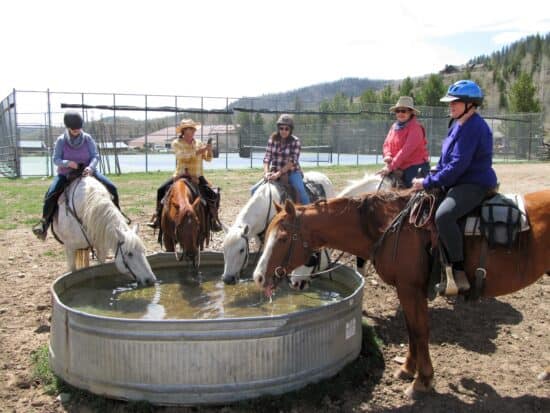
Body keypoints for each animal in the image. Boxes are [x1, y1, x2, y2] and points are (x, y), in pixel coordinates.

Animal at [254, 190, 550, 396]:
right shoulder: (406, 289)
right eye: (266, 235)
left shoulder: (411, 289)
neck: (390, 227)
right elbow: (411, 329)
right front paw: (408, 369)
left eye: (282, 239)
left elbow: (420, 330)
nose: (258, 277)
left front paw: (423, 380)